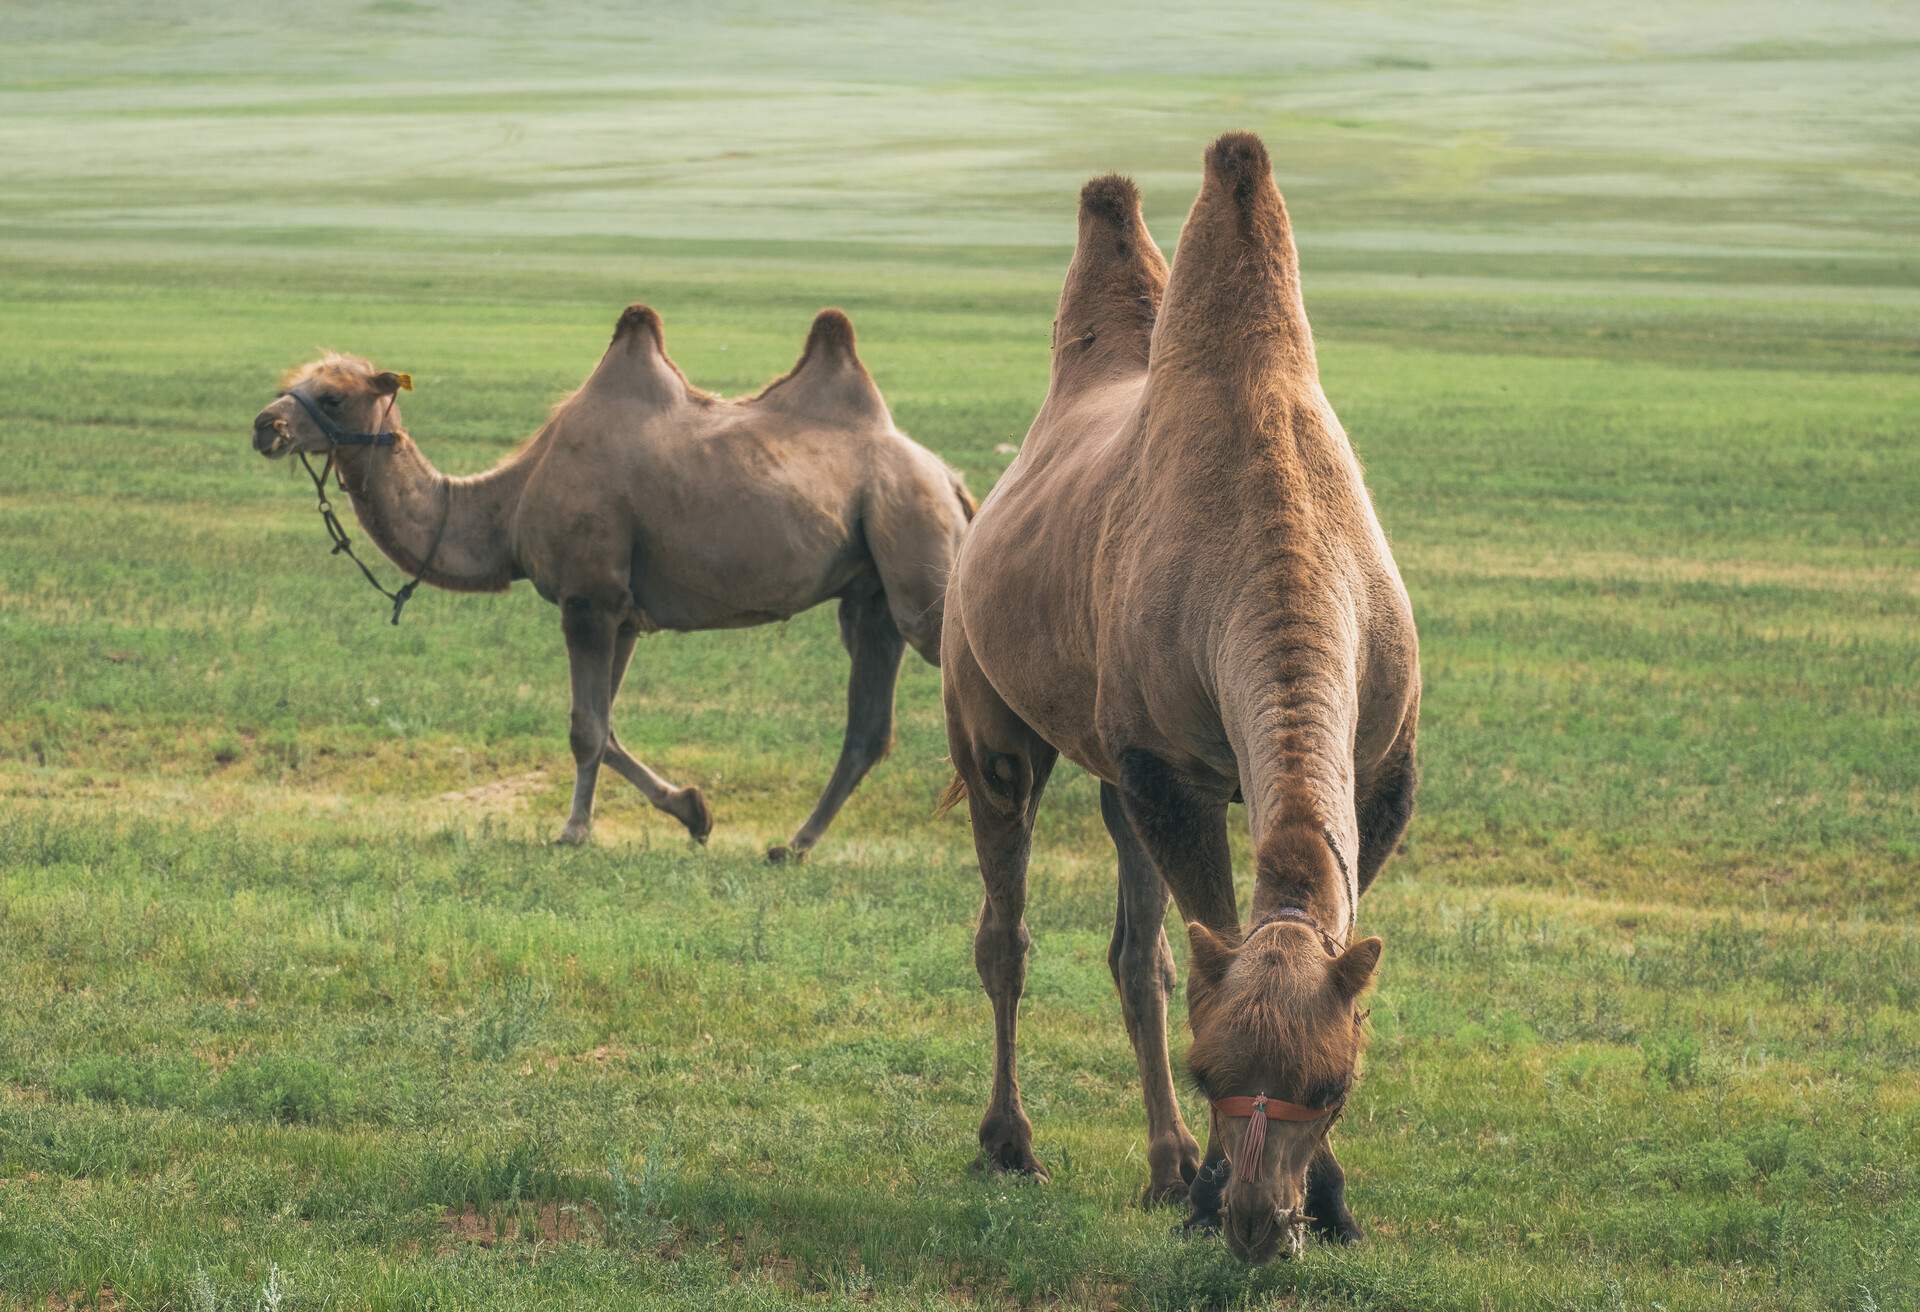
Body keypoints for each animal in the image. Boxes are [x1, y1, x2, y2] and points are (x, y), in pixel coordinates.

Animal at [251, 307, 975, 860]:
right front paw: (693, 809)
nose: (265, 426)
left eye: (333, 395)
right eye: (293, 382)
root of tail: (950, 478)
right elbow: (607, 725)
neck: (509, 504)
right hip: (872, 593)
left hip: (914, 542)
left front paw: (573, 831)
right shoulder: (623, 612)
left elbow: (586, 728)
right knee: (867, 729)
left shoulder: (588, 599)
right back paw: (791, 846)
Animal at [936, 133, 1420, 1260]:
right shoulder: (1170, 773)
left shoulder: (1382, 775)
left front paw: (1330, 1202)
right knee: (1005, 930)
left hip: (1113, 775)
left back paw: (1161, 1166)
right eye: (1213, 1073)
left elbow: (1275, 944)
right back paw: (1014, 1143)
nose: (1256, 1222)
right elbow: (1206, 952)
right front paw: (1214, 1194)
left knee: (1134, 955)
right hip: (987, 714)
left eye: (1333, 1087)